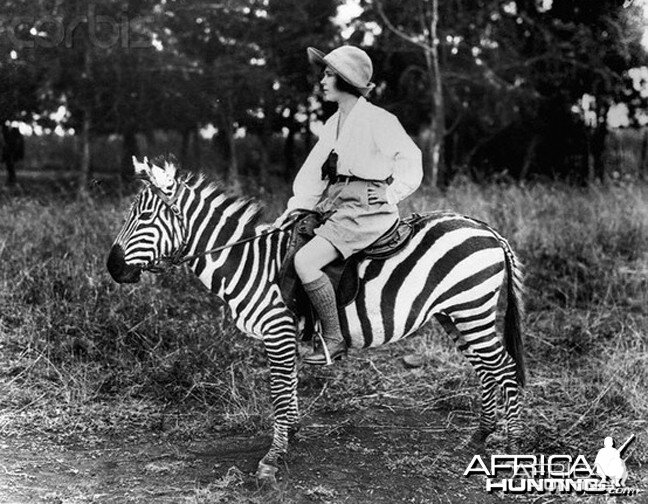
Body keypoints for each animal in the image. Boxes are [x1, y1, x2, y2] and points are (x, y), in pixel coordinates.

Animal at [107, 156, 528, 482]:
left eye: (145, 216)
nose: (112, 268)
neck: (253, 262)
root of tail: (487, 229)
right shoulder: (286, 335)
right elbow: (289, 387)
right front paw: (291, 435)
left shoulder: (277, 329)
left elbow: (279, 390)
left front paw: (273, 458)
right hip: (455, 314)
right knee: (486, 371)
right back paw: (478, 436)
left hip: (471, 309)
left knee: (505, 369)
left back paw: (512, 448)